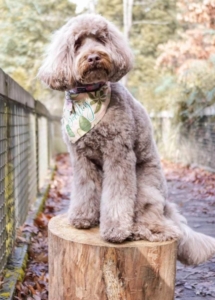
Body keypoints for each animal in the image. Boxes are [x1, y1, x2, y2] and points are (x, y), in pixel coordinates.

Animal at [38, 13, 215, 264]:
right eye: (78, 43)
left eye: (102, 39)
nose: (94, 56)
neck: (89, 97)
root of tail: (168, 206)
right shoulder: (81, 159)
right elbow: (85, 189)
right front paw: (82, 217)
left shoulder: (118, 154)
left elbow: (117, 196)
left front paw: (116, 230)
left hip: (145, 190)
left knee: (163, 227)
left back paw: (139, 230)